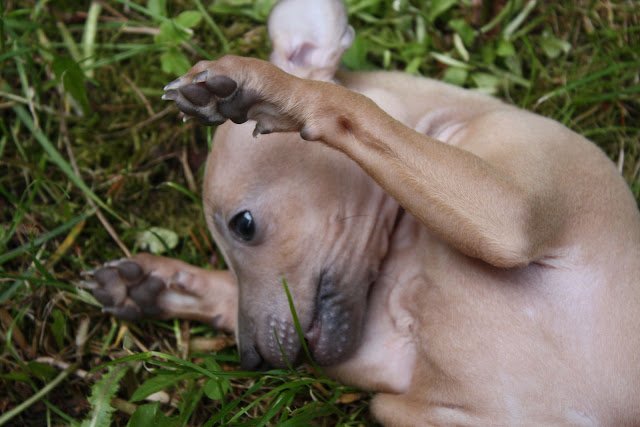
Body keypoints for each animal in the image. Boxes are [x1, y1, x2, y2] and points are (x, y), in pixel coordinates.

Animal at [87, 0, 640, 424]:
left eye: (243, 225)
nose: (252, 358)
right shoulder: (390, 367)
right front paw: (159, 284)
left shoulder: (511, 215)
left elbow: (354, 108)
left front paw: (272, 90)